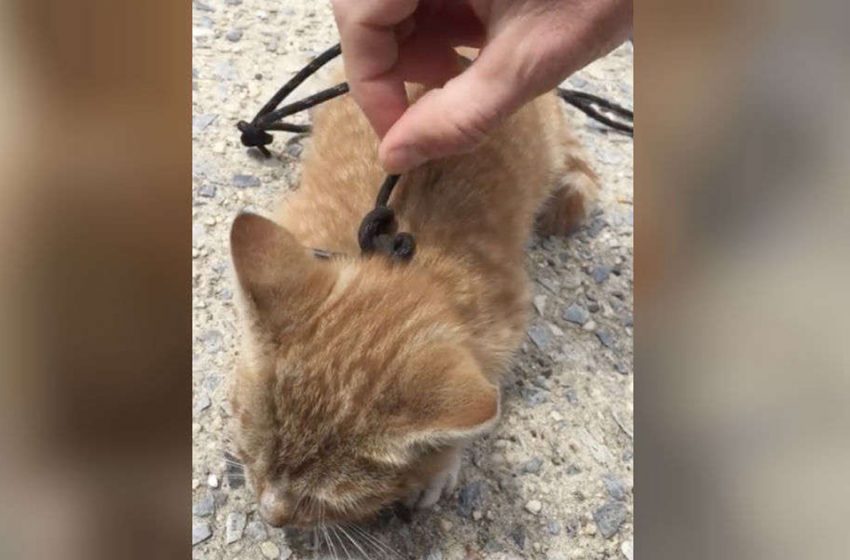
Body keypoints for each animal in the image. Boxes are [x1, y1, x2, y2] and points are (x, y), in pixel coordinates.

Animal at [227, 63, 596, 528]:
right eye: (249, 446)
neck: (401, 260)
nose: (271, 516)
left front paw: (441, 465)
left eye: (331, 500)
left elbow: (487, 390)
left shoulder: (507, 317)